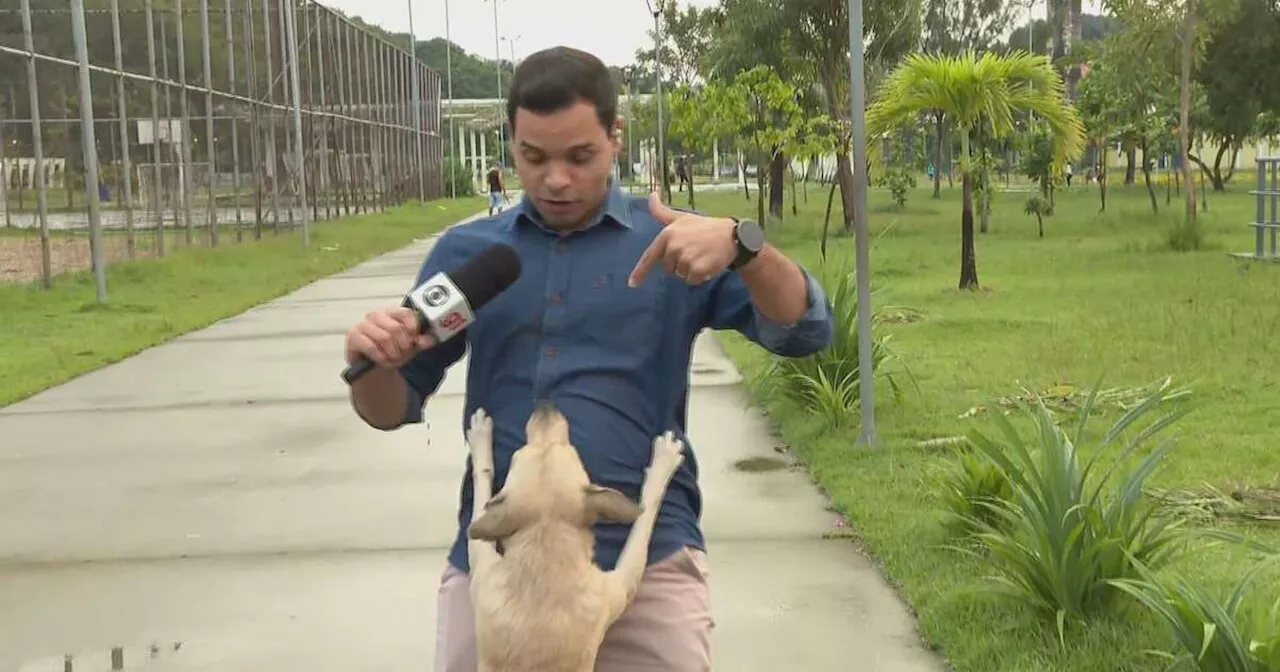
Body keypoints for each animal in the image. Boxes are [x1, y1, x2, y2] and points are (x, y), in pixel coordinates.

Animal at [465, 401, 686, 665]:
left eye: (517, 454)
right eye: (573, 451)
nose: (544, 405)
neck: (544, 544)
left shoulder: (481, 565)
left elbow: (481, 494)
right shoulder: (622, 586)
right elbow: (647, 511)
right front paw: (664, 462)